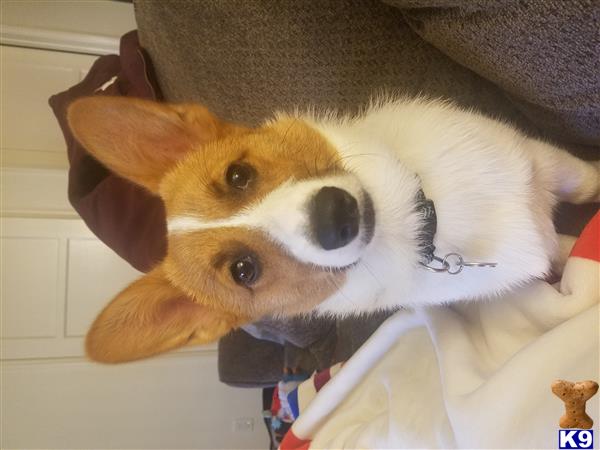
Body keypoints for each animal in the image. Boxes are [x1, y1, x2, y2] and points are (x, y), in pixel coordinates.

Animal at [65, 97, 600, 362]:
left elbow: (585, 181)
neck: (417, 217)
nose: (334, 214)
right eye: (244, 271)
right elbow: (567, 249)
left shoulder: (542, 160)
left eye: (238, 175)